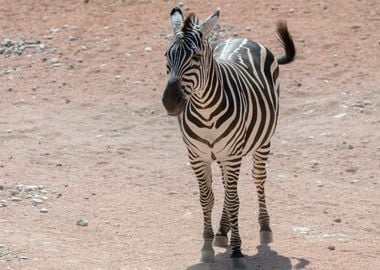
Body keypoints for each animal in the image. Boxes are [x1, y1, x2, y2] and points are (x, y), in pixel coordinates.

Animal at [162, 6, 296, 264]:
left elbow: (234, 200)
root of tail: (242, 38)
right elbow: (207, 199)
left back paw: (264, 228)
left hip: (261, 142)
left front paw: (236, 250)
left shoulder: (232, 155)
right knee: (226, 187)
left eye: (195, 57)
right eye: (166, 56)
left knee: (257, 179)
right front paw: (207, 247)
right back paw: (223, 231)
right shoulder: (197, 156)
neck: (206, 112)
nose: (170, 102)